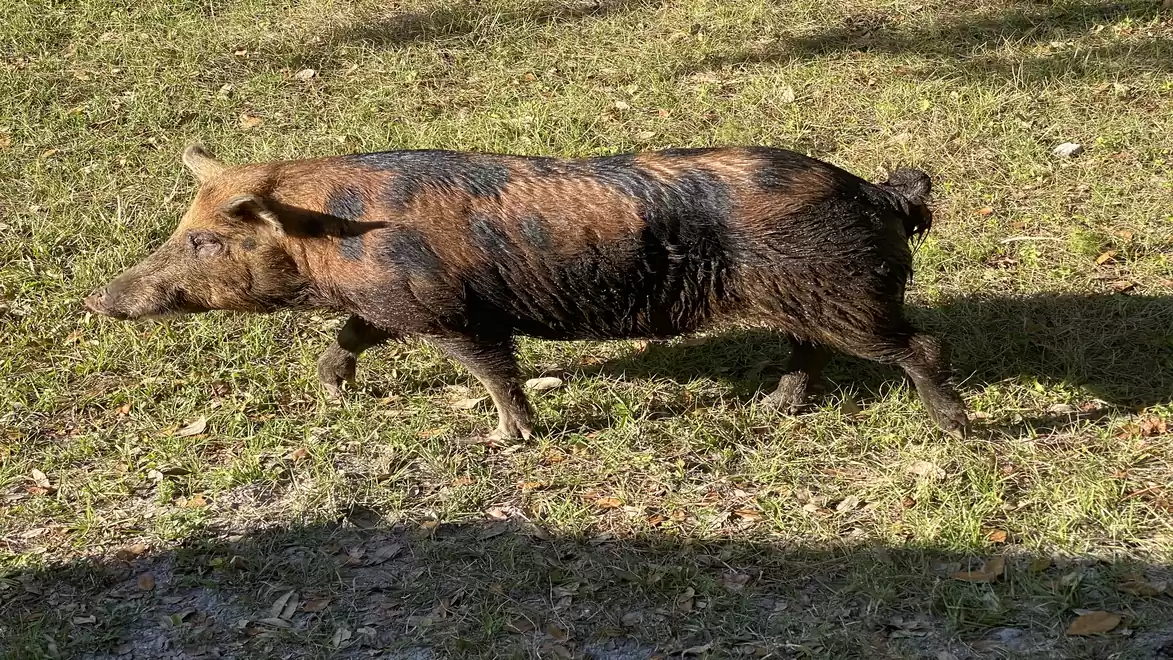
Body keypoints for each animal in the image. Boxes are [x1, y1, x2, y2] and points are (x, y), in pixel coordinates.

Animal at [84, 143, 969, 439]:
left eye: (204, 239)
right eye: (183, 227)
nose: (99, 301)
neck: (329, 242)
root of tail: (877, 192)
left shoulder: (451, 312)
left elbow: (493, 369)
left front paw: (508, 438)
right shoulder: (392, 306)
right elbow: (349, 336)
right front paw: (334, 392)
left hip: (846, 293)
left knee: (919, 344)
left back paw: (953, 429)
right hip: (806, 299)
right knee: (806, 351)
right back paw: (771, 409)